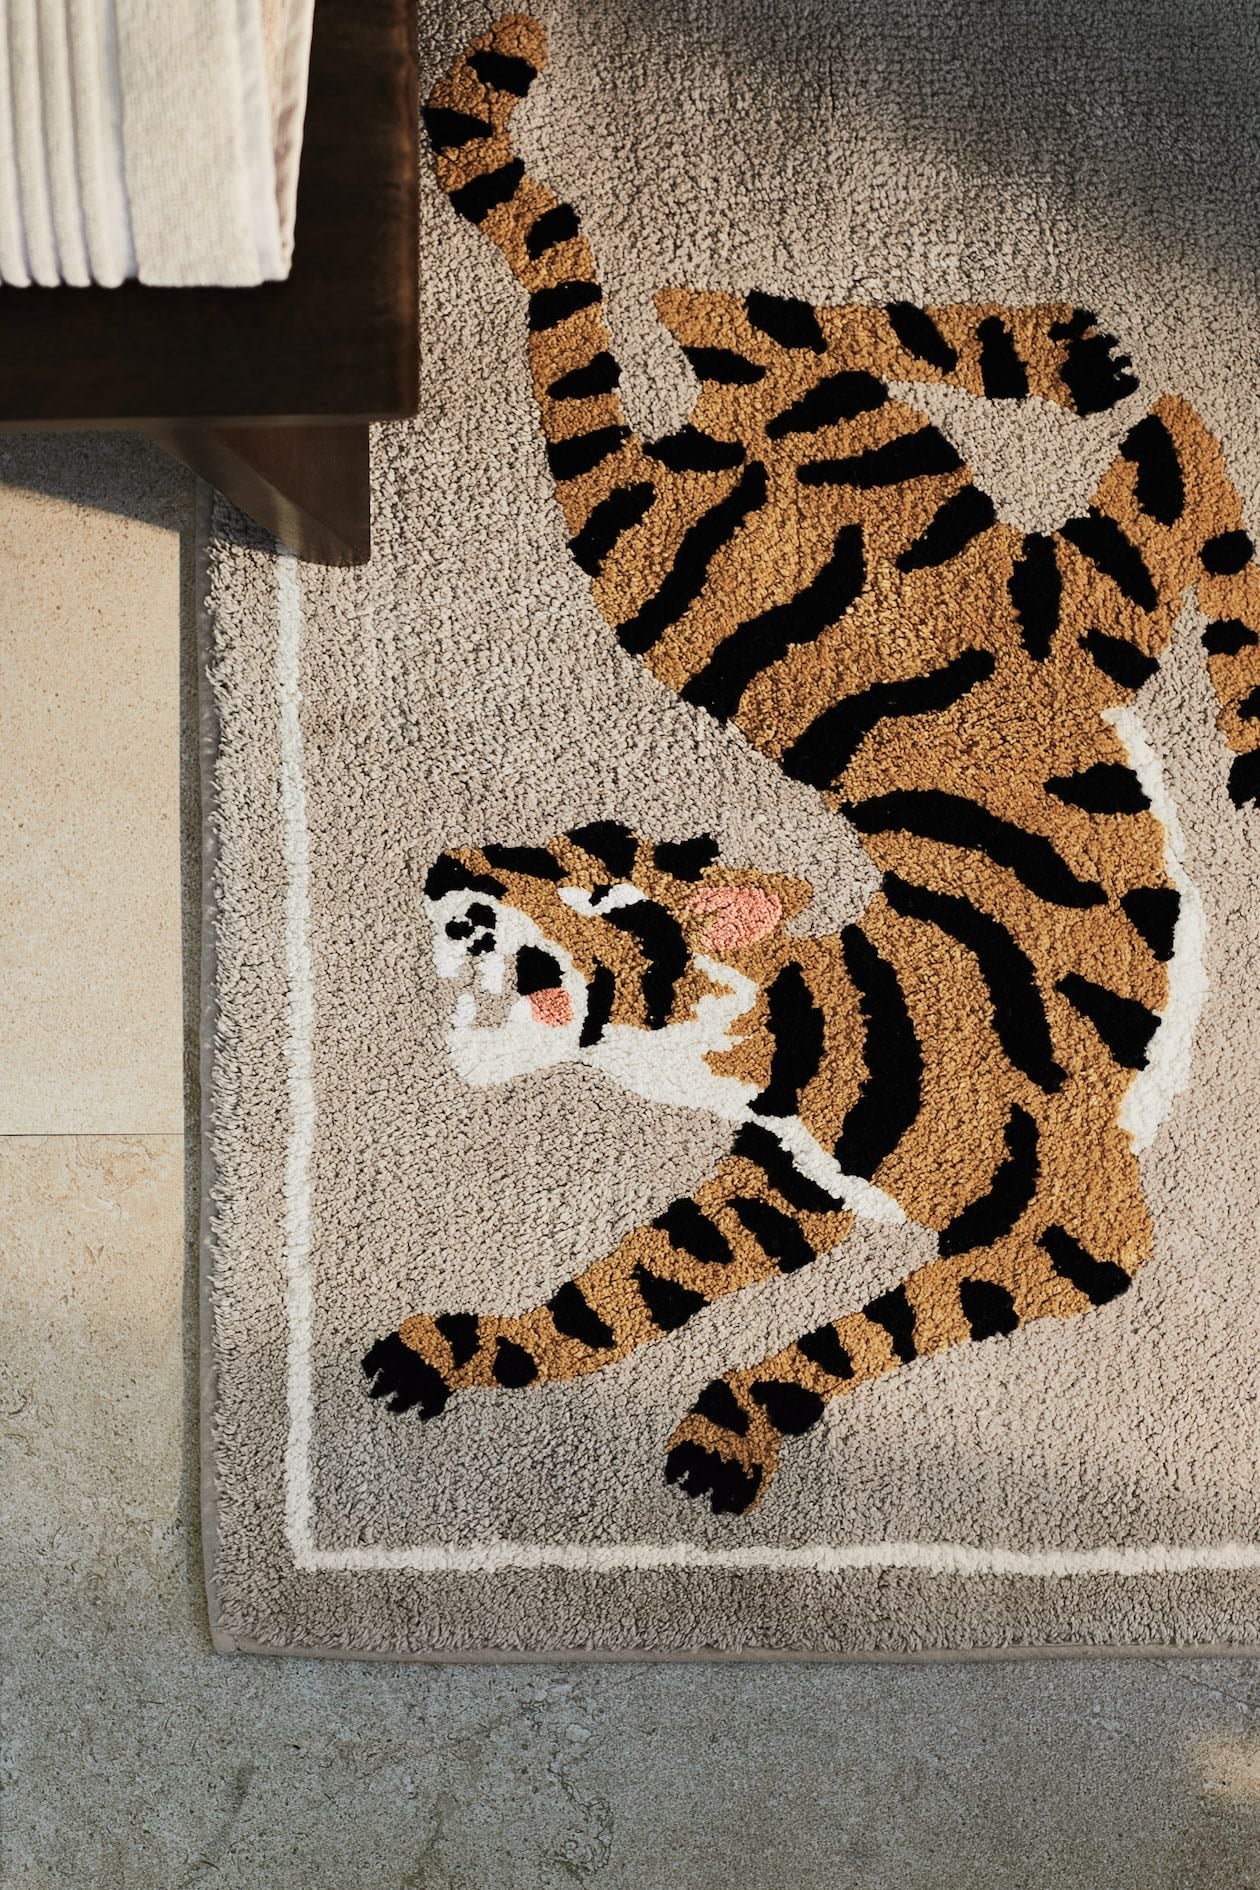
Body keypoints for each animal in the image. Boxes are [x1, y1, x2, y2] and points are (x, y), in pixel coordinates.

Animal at [362, 13, 1260, 1514]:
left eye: (589, 899)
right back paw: (1055, 357)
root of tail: (674, 469)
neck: (734, 1039)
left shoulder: (1075, 1225)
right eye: (535, 850)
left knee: (1179, 436)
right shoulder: (781, 1185)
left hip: (1038, 603)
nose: (450, 880)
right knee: (724, 300)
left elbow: (872, 1328)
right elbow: (615, 1297)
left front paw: (731, 1429)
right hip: (763, 524)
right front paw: (455, 1351)